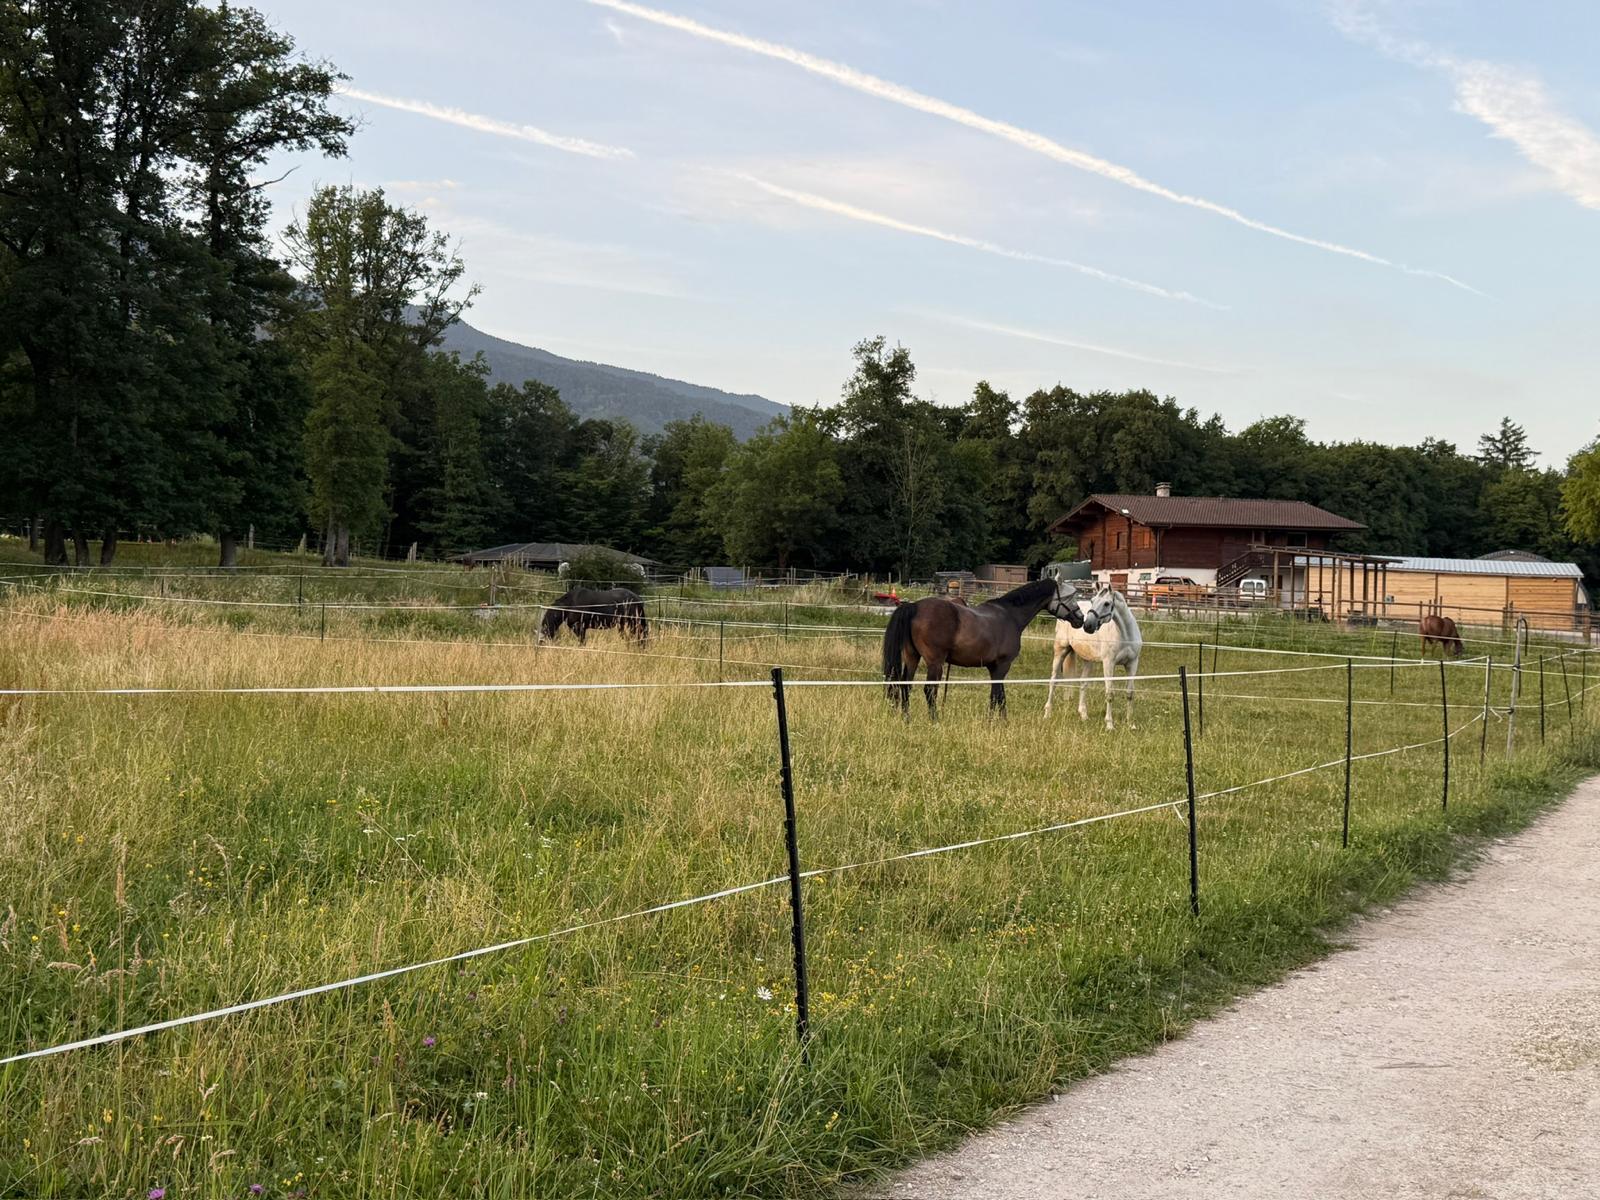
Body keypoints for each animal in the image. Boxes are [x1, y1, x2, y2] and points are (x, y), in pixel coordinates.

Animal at [881, 576, 1095, 719]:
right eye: (1070, 597)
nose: (1080, 619)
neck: (1010, 615)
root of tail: (915, 606)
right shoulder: (1002, 665)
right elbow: (998, 695)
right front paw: (998, 722)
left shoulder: (993, 667)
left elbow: (997, 695)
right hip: (935, 662)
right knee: (929, 690)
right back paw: (935, 720)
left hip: (912, 657)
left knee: (905, 686)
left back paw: (906, 719)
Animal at [1044, 584, 1141, 729]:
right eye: (1092, 600)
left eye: (1107, 603)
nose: (1088, 625)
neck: (1125, 635)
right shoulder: (1108, 663)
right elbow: (1109, 693)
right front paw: (1110, 724)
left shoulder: (1132, 664)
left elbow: (1130, 693)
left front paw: (1131, 724)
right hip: (1060, 651)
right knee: (1053, 681)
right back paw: (1047, 714)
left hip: (1088, 659)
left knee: (1083, 682)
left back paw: (1084, 715)